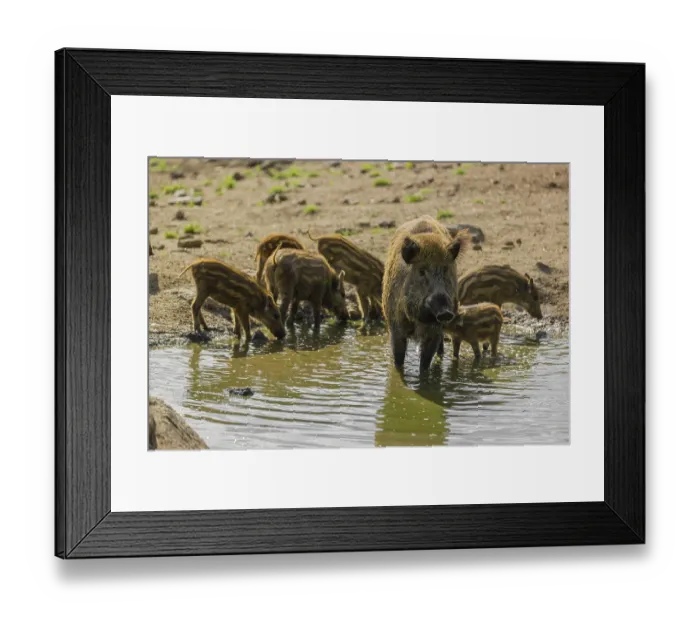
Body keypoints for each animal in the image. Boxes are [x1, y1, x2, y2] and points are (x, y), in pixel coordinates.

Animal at [382, 215, 464, 373]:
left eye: (445, 270)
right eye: (421, 271)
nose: (445, 312)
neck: (419, 320)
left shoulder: (434, 332)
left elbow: (425, 363)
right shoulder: (395, 326)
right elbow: (398, 359)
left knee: (441, 347)